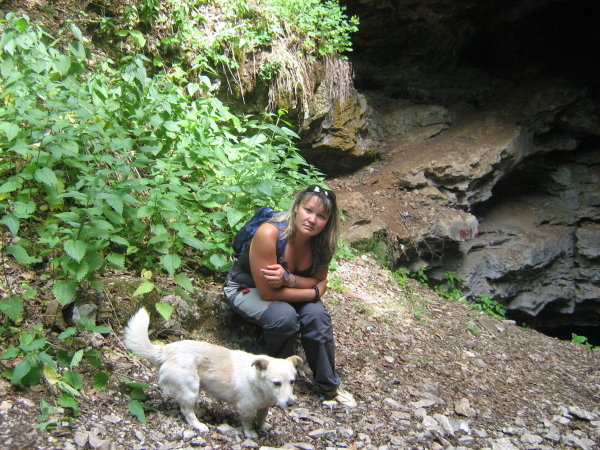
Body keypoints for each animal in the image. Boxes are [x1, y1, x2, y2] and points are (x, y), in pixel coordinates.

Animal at [123, 307, 302, 438]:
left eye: (292, 382)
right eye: (276, 383)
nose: (291, 403)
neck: (258, 385)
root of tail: (167, 350)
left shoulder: (263, 407)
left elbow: (262, 418)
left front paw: (263, 427)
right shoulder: (246, 409)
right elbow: (248, 422)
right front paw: (251, 432)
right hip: (191, 388)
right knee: (186, 411)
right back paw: (199, 425)